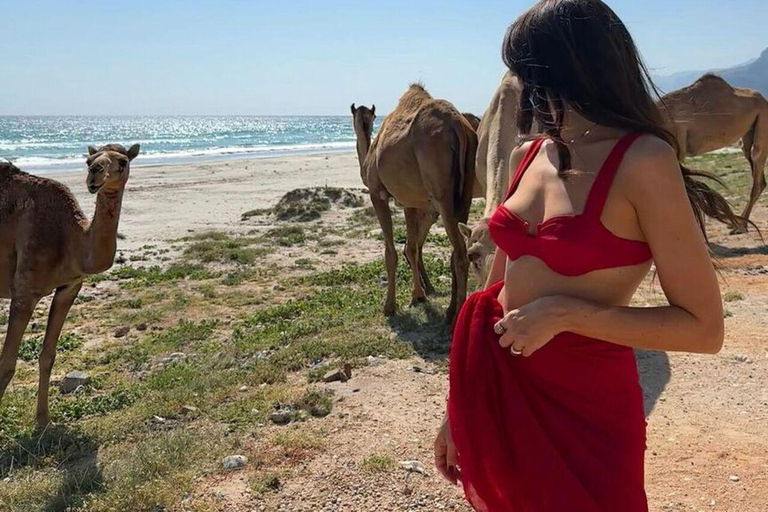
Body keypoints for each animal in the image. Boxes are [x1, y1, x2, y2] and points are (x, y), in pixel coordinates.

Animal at [0, 142, 140, 426]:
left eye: (122, 161)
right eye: (89, 160)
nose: (95, 173)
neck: (70, 239)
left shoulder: (69, 288)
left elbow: (48, 355)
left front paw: (44, 420)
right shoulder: (24, 291)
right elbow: (6, 364)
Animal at [350, 85, 480, 324]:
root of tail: (459, 127)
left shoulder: (376, 193)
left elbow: (391, 252)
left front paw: (389, 306)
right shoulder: (410, 202)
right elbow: (411, 248)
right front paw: (418, 296)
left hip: (442, 192)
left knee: (459, 252)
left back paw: (456, 315)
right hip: (464, 191)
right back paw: (452, 310)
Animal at [660, 74, 768, 234]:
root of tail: (764, 100)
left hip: (762, 127)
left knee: (758, 176)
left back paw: (740, 226)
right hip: (748, 137)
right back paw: (736, 223)